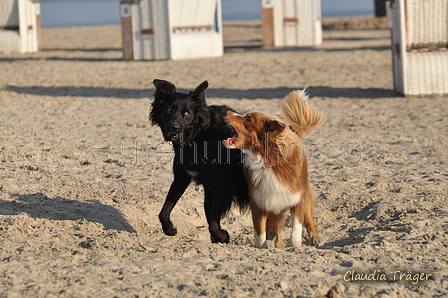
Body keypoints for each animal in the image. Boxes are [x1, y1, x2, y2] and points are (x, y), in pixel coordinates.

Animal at [150, 80, 248, 243]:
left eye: (187, 113)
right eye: (169, 109)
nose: (174, 128)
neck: (198, 137)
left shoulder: (220, 187)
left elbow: (213, 225)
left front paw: (223, 236)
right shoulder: (182, 178)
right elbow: (163, 212)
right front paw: (169, 229)